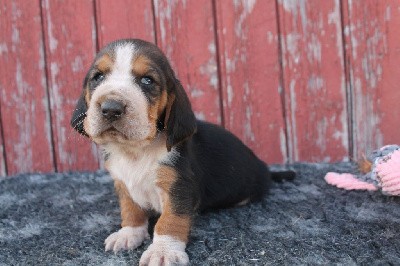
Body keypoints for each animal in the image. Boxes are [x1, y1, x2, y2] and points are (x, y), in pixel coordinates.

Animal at [71, 38, 294, 264]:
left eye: (147, 81)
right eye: (98, 77)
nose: (111, 108)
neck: (136, 151)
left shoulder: (179, 187)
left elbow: (170, 219)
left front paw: (163, 251)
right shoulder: (123, 184)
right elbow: (131, 209)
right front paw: (128, 234)